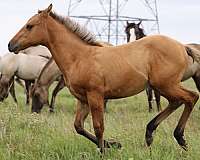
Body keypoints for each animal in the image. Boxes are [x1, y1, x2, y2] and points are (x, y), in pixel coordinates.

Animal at [8, 4, 200, 152]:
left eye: (30, 26)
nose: (10, 45)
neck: (79, 57)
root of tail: (182, 46)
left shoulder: (95, 96)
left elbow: (98, 127)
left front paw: (104, 150)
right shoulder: (83, 99)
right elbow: (79, 126)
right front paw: (113, 144)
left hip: (165, 84)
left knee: (191, 97)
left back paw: (178, 137)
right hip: (163, 85)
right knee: (177, 101)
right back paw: (150, 133)